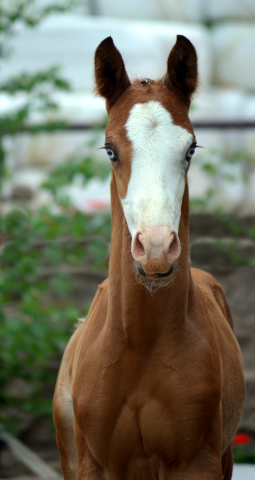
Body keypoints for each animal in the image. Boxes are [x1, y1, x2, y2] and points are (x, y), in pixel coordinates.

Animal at [53, 35, 245, 478]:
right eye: (110, 150)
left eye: (191, 149)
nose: (156, 248)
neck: (142, 346)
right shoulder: (95, 464)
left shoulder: (197, 461)